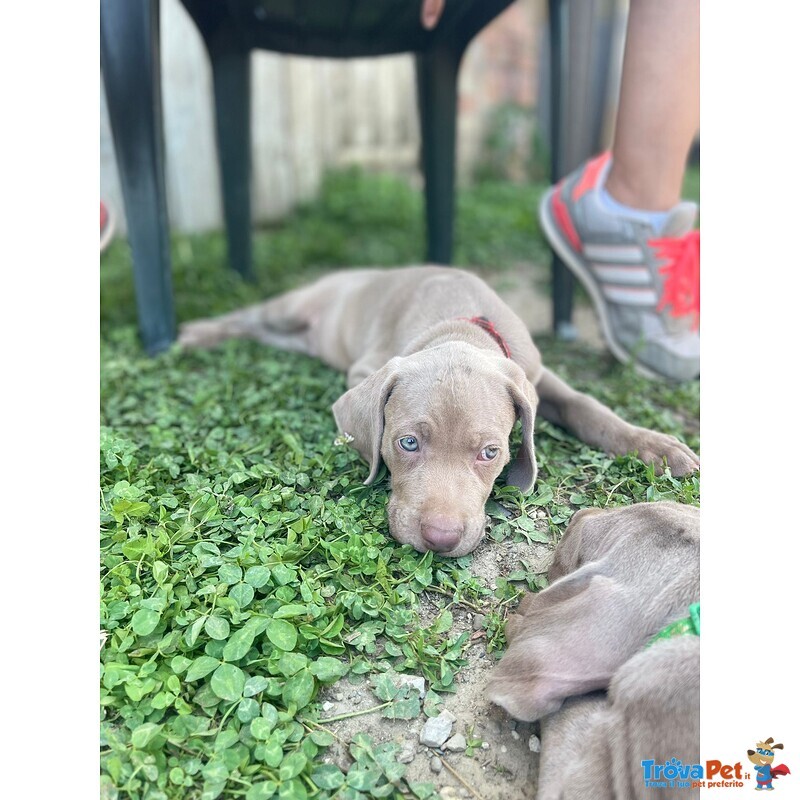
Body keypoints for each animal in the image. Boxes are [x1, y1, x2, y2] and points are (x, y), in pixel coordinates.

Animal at [178, 268, 696, 556]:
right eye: (407, 443)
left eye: (490, 453)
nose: (441, 539)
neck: (460, 326)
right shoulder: (366, 366)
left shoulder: (534, 375)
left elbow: (585, 405)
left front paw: (658, 447)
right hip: (292, 308)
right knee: (249, 317)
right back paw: (197, 332)